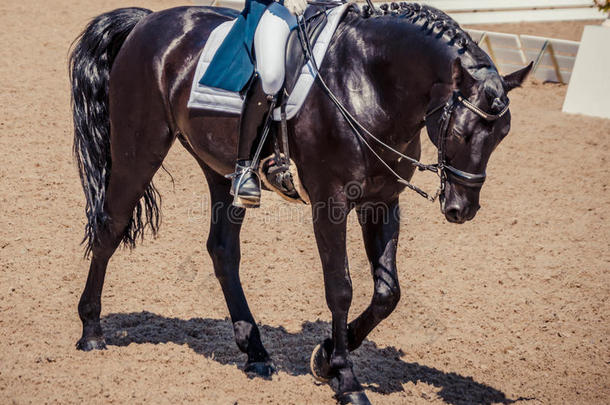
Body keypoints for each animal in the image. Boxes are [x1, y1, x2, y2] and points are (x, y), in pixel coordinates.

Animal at [70, 3, 528, 404]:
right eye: (463, 131)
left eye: (503, 133)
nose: (461, 208)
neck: (369, 83)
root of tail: (150, 22)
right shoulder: (330, 204)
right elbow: (340, 288)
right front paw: (345, 378)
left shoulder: (382, 202)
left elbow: (387, 292)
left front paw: (324, 358)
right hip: (140, 148)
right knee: (110, 226)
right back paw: (91, 332)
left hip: (220, 170)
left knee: (222, 250)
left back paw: (255, 352)